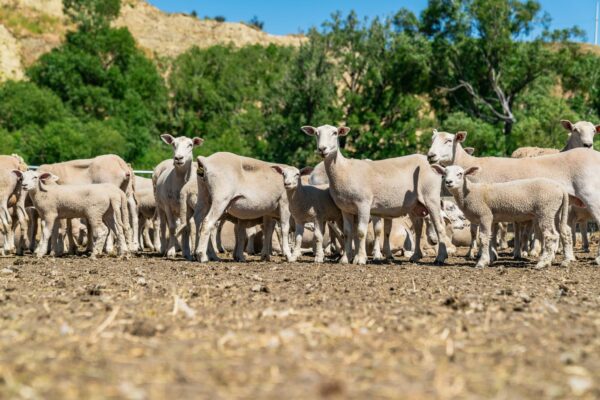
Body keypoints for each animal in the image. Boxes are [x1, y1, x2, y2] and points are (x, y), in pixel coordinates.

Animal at [304, 123, 450, 264]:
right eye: (316, 133)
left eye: (335, 133)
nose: (322, 149)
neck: (344, 169)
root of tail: (431, 162)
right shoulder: (345, 208)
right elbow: (347, 232)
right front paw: (345, 259)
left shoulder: (363, 204)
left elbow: (360, 232)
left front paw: (360, 259)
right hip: (414, 205)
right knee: (418, 228)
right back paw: (416, 256)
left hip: (430, 197)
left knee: (440, 226)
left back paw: (440, 257)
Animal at [428, 164, 576, 270]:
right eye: (444, 174)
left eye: (460, 173)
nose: (448, 182)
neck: (470, 192)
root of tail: (561, 189)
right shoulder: (493, 218)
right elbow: (491, 237)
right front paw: (491, 258)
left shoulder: (485, 215)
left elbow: (483, 238)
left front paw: (481, 262)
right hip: (555, 212)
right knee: (564, 232)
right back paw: (564, 260)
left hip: (545, 210)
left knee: (551, 236)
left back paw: (542, 263)